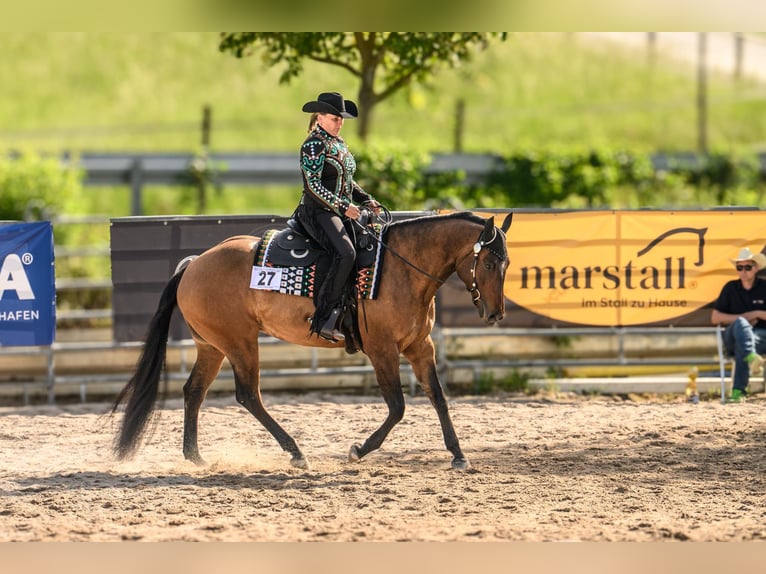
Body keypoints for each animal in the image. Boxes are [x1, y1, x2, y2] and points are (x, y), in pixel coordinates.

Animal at [111, 210, 513, 470]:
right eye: (488, 263)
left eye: (507, 264)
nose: (496, 314)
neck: (399, 268)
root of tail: (194, 264)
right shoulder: (382, 350)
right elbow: (398, 407)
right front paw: (359, 450)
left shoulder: (420, 347)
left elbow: (439, 397)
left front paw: (458, 455)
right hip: (240, 343)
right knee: (248, 395)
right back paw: (295, 452)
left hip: (212, 347)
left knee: (194, 391)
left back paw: (195, 456)